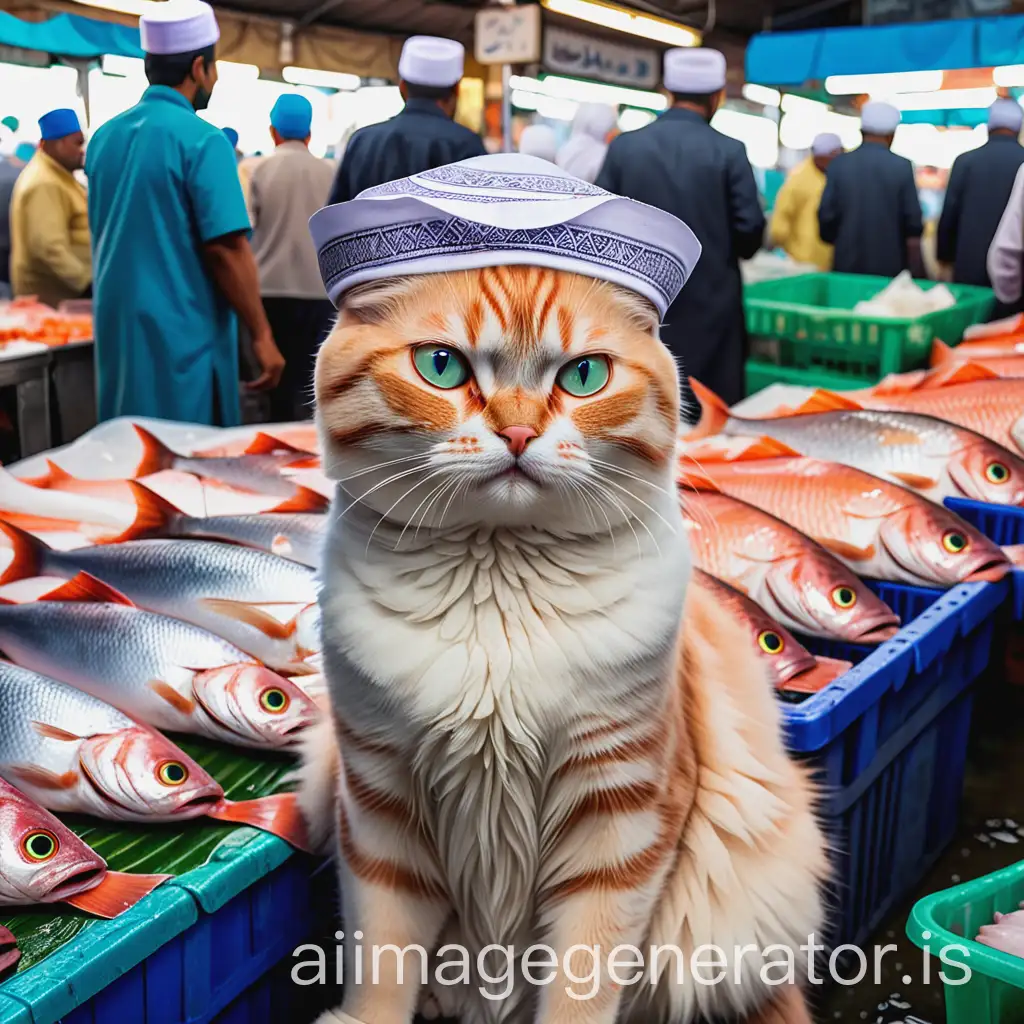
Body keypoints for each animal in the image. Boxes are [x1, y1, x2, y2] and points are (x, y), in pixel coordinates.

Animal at [299, 266, 827, 1024]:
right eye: (441, 366)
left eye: (583, 376)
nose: (518, 431)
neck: (497, 580)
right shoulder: (376, 799)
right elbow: (382, 960)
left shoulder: (620, 809)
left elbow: (583, 976)